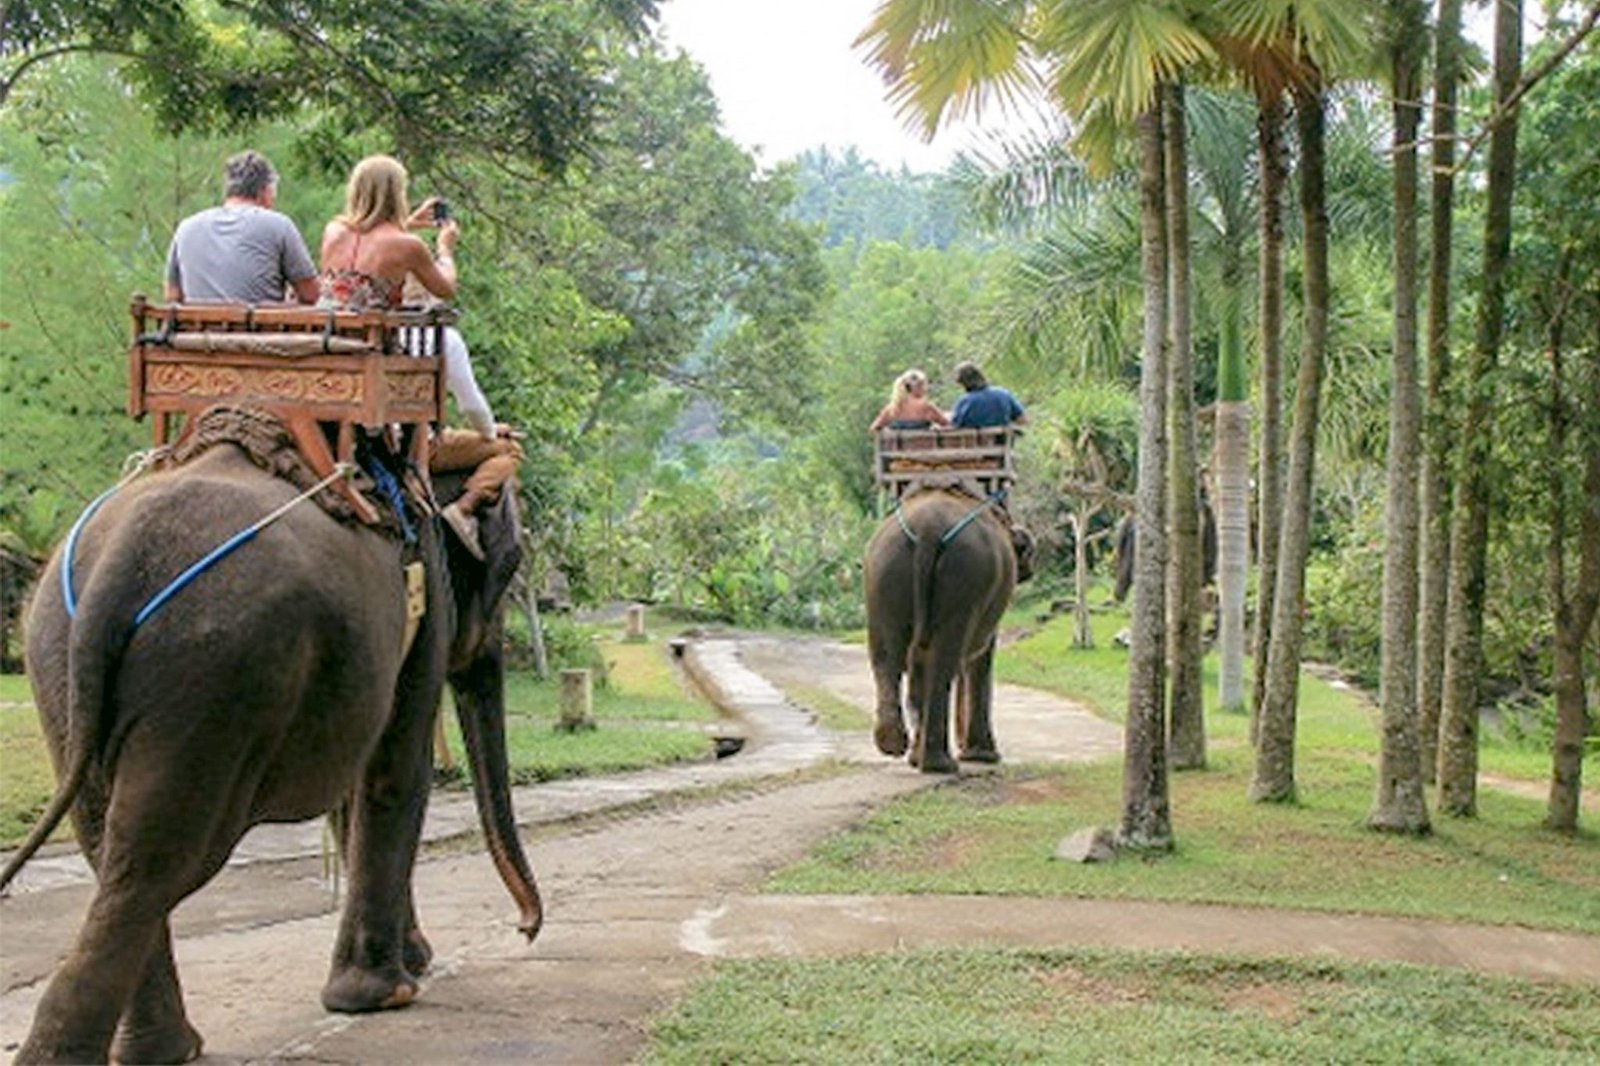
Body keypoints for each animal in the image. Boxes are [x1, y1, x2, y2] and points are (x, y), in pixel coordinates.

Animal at [0, 435, 540, 1062]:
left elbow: (355, 791)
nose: (526, 929)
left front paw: (412, 964)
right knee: (157, 859)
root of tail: (118, 565)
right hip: (215, 670)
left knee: (104, 841)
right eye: (511, 566)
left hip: (59, 663)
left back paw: (162, 1049)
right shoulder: (421, 591)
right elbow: (394, 770)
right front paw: (388, 993)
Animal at [864, 489, 1036, 771]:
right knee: (942, 661)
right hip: (965, 573)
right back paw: (940, 765)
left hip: (883, 570)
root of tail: (928, 530)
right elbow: (980, 658)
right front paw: (984, 757)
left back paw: (896, 745)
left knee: (888, 655)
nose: (1030, 571)